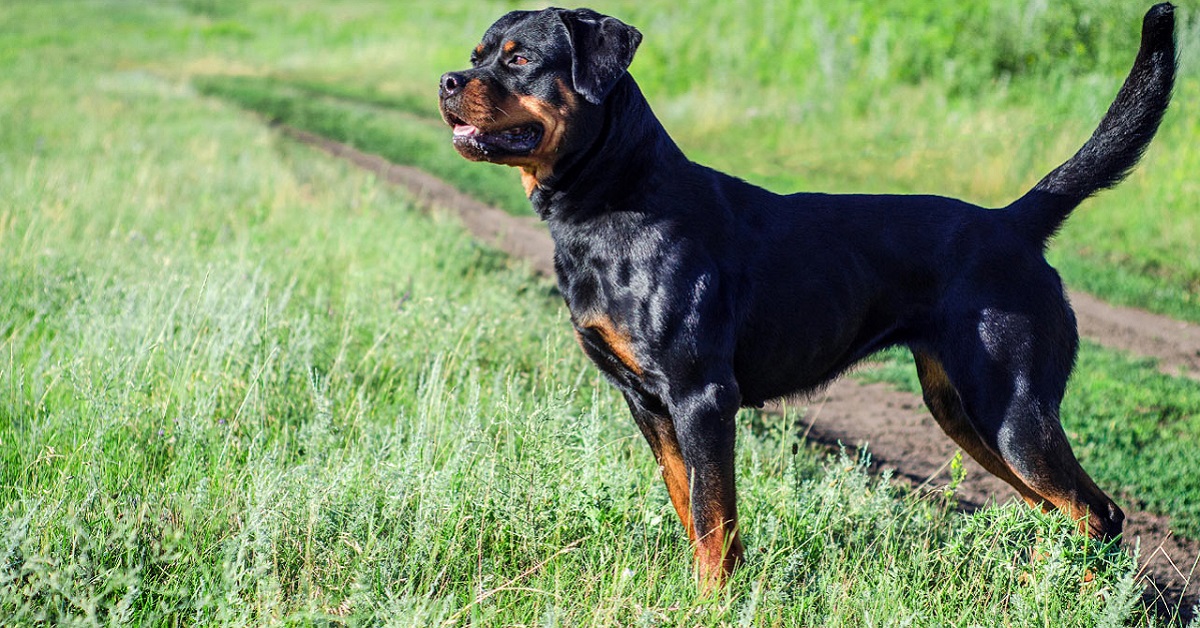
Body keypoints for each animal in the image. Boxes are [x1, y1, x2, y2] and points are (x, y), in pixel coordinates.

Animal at [436, 4, 1176, 590]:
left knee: (1100, 514)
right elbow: (691, 508)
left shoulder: (703, 395)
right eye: (476, 57)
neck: (613, 198)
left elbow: (715, 518)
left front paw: (714, 601)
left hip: (1013, 410)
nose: (446, 81)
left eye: (520, 59)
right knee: (1061, 513)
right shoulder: (646, 402)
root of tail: (1014, 222)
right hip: (966, 412)